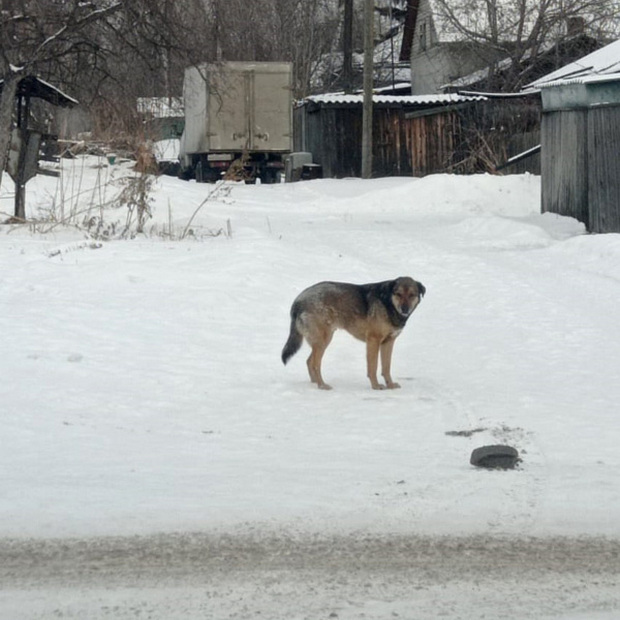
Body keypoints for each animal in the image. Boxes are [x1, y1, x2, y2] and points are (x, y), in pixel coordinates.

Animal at [282, 278, 424, 390]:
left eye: (412, 295)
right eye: (398, 294)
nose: (404, 309)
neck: (388, 303)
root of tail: (298, 300)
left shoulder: (388, 342)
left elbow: (386, 367)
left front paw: (390, 385)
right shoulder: (373, 340)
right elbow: (373, 367)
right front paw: (376, 386)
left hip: (322, 340)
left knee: (308, 361)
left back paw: (315, 383)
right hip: (324, 339)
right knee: (314, 363)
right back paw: (322, 385)